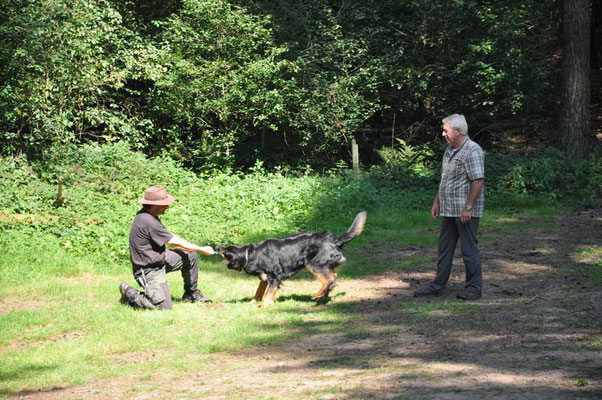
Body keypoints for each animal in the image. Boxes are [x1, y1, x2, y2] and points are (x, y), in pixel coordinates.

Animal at [216, 212, 366, 310]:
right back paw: (324, 294)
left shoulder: (274, 277)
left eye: (225, 251)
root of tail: (334, 240)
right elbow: (259, 292)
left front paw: (264, 306)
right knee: (333, 278)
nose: (217, 247)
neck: (250, 254)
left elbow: (267, 294)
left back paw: (318, 295)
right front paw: (253, 303)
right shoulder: (265, 279)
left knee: (329, 279)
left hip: (312, 264)